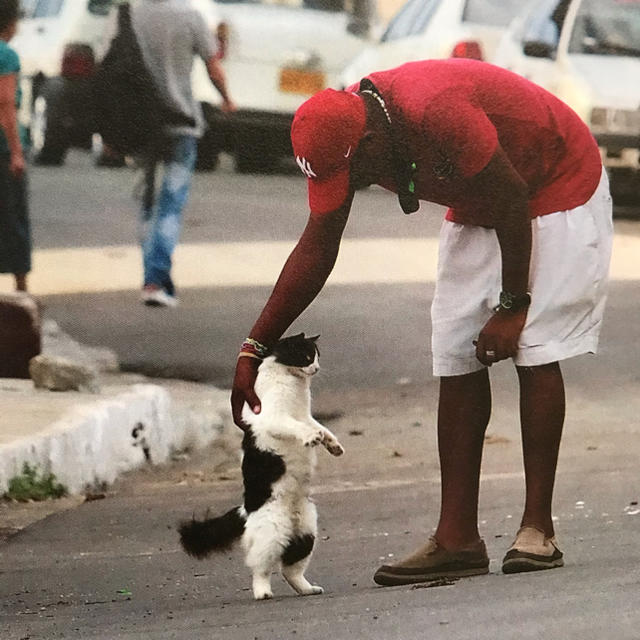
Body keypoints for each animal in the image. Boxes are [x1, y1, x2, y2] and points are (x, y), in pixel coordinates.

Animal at [178, 336, 342, 600]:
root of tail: (245, 511)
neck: (294, 384)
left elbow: (323, 429)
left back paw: (308, 589)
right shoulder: (275, 417)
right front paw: (310, 438)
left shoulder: (307, 416)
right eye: (307, 357)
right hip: (272, 535)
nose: (317, 368)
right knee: (261, 568)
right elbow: (298, 427)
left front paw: (334, 445)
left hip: (306, 533)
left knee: (290, 569)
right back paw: (263, 592)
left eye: (318, 357)